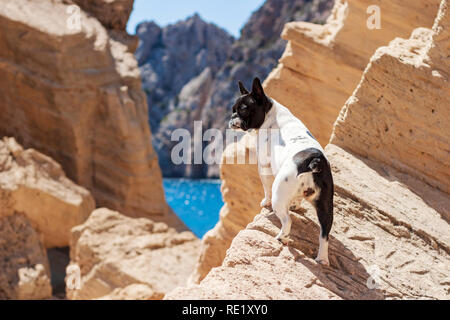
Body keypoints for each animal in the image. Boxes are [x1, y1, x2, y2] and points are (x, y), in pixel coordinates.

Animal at [230, 77, 332, 264]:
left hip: (279, 194)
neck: (270, 114)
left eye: (243, 109)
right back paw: (322, 259)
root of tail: (314, 160)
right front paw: (296, 204)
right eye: (233, 110)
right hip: (326, 207)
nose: (232, 117)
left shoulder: (264, 166)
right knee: (324, 233)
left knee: (287, 221)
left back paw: (282, 237)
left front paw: (265, 202)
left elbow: (266, 189)